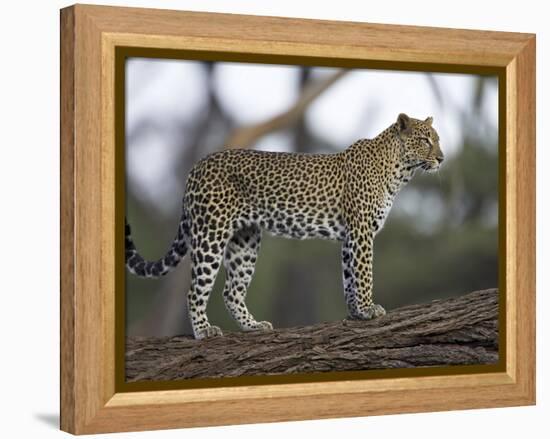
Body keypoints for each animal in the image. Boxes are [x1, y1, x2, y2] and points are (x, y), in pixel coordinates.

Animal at [125, 113, 444, 340]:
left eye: (437, 139)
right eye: (425, 140)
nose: (442, 158)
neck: (400, 170)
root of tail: (197, 166)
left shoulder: (349, 236)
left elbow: (349, 276)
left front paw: (355, 312)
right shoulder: (362, 230)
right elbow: (364, 273)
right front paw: (368, 310)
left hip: (245, 241)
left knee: (231, 291)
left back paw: (253, 326)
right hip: (211, 233)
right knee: (195, 290)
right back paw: (204, 331)